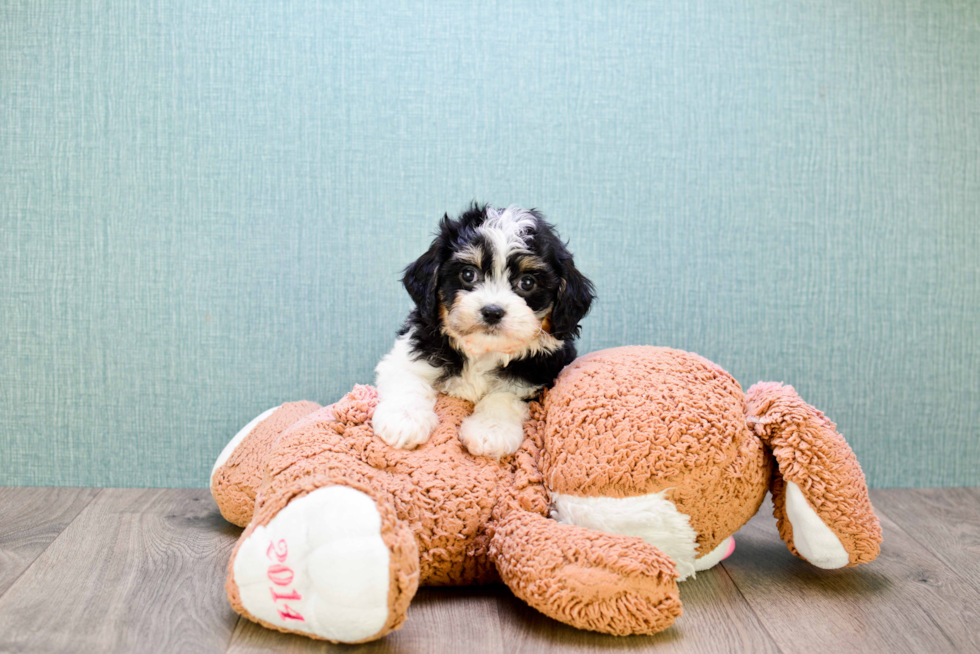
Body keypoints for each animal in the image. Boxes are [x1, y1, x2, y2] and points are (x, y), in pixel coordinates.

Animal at [372, 206, 592, 462]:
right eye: (468, 274)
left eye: (527, 282)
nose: (492, 311)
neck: (483, 350)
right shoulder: (411, 353)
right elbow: (409, 379)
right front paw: (404, 419)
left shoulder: (536, 376)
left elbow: (506, 395)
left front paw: (491, 430)